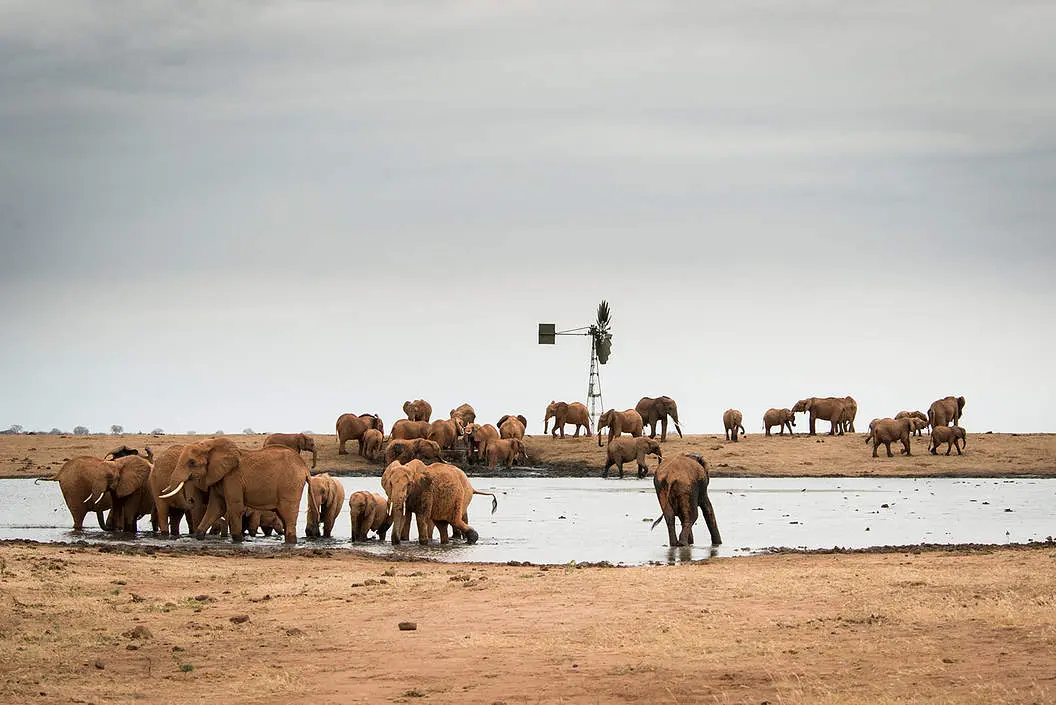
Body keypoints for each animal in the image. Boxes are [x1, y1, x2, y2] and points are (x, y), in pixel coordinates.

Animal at [158, 437, 313, 544]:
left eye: (192, 462)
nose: (191, 499)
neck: (211, 444)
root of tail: (305, 467)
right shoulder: (219, 477)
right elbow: (216, 507)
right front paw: (199, 536)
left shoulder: (233, 478)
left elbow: (234, 507)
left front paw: (238, 540)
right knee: (283, 515)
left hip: (290, 485)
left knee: (288, 514)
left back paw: (291, 542)